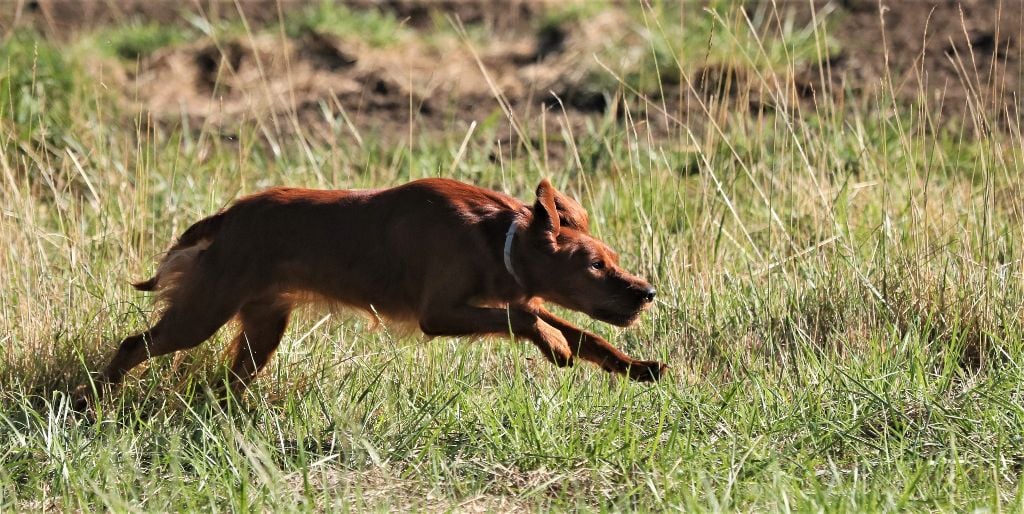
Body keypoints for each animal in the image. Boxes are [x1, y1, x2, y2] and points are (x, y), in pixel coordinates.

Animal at [75, 179, 659, 403]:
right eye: (595, 265)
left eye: (614, 261)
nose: (647, 293)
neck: (496, 237)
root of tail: (227, 216)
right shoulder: (438, 314)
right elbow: (529, 322)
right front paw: (555, 348)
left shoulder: (500, 299)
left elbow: (586, 336)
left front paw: (635, 367)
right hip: (203, 312)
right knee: (133, 344)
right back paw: (97, 401)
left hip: (263, 327)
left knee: (230, 378)